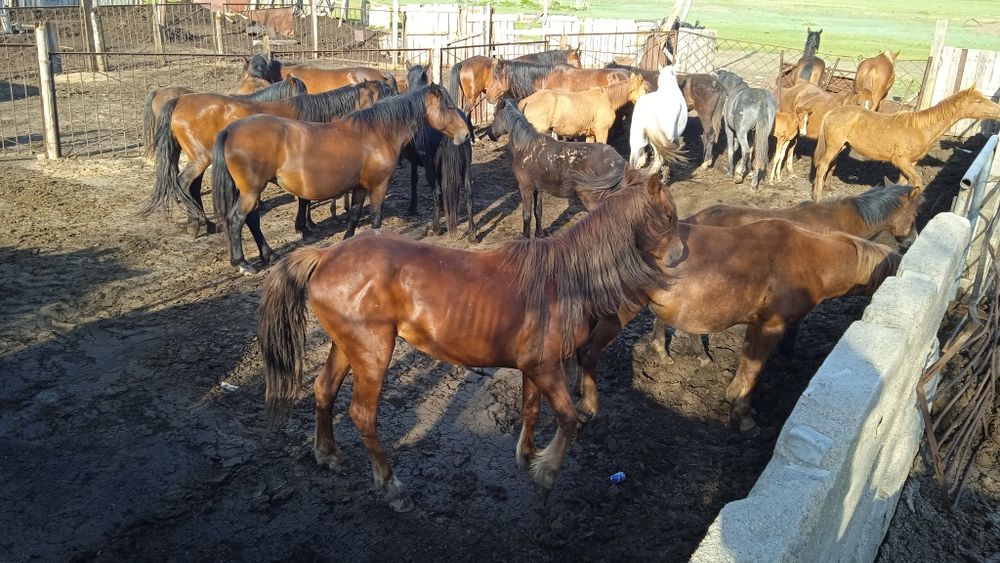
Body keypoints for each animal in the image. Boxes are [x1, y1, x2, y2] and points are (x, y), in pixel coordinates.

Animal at [139, 79, 394, 239]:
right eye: (386, 94)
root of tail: (178, 100)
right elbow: (304, 199)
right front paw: (304, 227)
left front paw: (307, 224)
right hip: (200, 158)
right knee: (182, 184)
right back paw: (195, 225)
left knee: (191, 187)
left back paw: (206, 223)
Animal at [210, 84, 471, 273]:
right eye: (448, 106)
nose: (466, 134)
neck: (377, 133)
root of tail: (230, 130)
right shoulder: (378, 186)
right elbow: (375, 219)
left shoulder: (360, 187)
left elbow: (354, 216)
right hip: (251, 190)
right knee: (237, 219)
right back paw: (243, 263)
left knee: (252, 219)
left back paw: (269, 254)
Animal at [257, 167, 683, 511]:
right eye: (668, 216)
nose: (680, 254)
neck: (564, 281)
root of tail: (325, 256)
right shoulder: (548, 369)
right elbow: (567, 419)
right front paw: (545, 475)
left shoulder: (534, 368)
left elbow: (530, 410)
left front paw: (527, 455)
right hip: (373, 354)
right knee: (362, 415)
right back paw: (392, 488)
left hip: (346, 348)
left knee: (323, 390)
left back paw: (327, 455)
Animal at [568, 219, 900, 433]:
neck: (811, 261)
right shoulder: (771, 328)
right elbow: (754, 371)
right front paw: (743, 417)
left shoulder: (756, 326)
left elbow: (744, 366)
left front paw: (736, 399)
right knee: (589, 353)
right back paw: (590, 408)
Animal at [812, 86, 1000, 199]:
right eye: (978, 101)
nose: (998, 111)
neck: (921, 128)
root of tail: (833, 112)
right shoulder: (900, 161)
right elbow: (916, 182)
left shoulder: (910, 163)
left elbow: (903, 183)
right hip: (834, 146)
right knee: (823, 166)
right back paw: (817, 196)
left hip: (840, 146)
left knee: (829, 165)